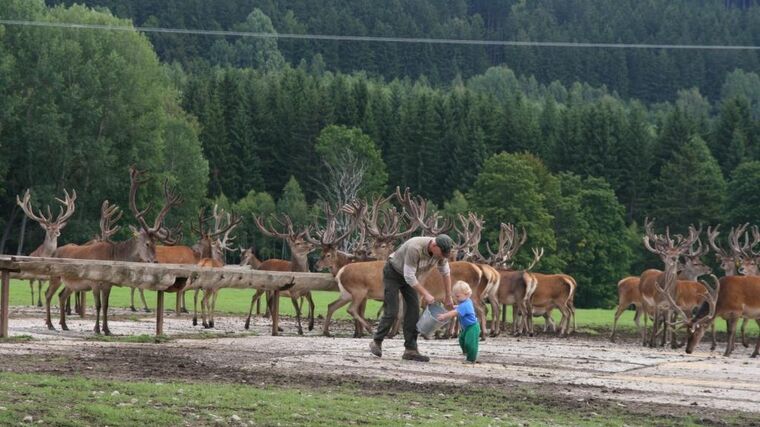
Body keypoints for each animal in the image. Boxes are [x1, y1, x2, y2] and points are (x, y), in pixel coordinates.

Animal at [45, 167, 181, 334]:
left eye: (156, 243)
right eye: (147, 243)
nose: (155, 261)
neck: (112, 256)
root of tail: (54, 252)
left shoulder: (108, 284)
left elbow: (106, 306)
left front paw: (107, 329)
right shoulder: (94, 282)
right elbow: (98, 305)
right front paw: (97, 329)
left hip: (70, 283)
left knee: (61, 295)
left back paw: (64, 325)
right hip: (55, 276)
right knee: (48, 294)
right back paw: (50, 324)